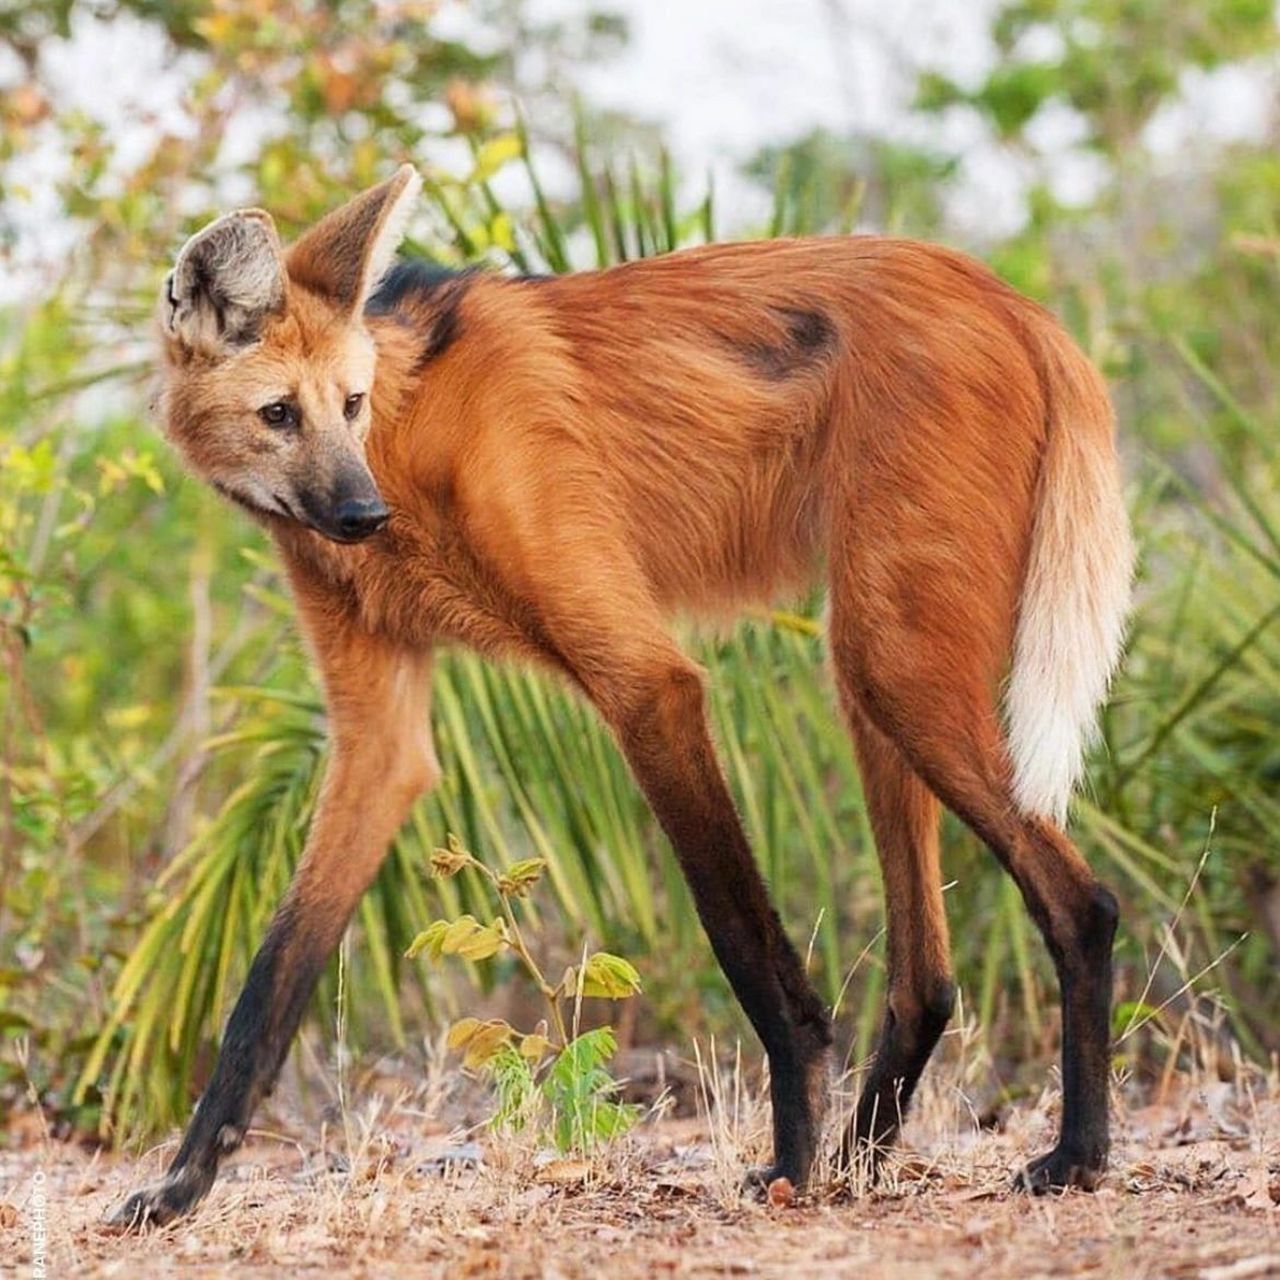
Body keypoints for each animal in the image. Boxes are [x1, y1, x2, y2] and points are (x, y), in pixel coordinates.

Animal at [110, 165, 1131, 1223]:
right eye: (280, 414)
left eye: (348, 405)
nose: (360, 514)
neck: (410, 443)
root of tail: (1016, 302)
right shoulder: (378, 741)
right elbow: (270, 977)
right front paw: (182, 1185)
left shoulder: (648, 683)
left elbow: (738, 935)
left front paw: (788, 1161)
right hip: (873, 672)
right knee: (927, 978)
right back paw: (864, 1161)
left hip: (896, 667)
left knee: (1082, 903)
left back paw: (1071, 1156)